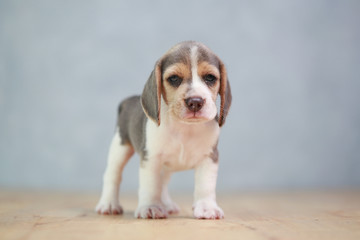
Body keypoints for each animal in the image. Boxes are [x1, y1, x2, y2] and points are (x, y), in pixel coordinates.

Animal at [95, 41, 231, 219]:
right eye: (174, 78)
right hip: (119, 148)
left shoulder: (209, 157)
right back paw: (109, 204)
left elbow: (205, 185)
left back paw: (166, 204)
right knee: (113, 176)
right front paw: (150, 207)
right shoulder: (150, 158)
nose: (195, 101)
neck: (185, 128)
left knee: (163, 184)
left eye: (210, 78)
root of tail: (128, 100)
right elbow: (151, 185)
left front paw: (207, 207)